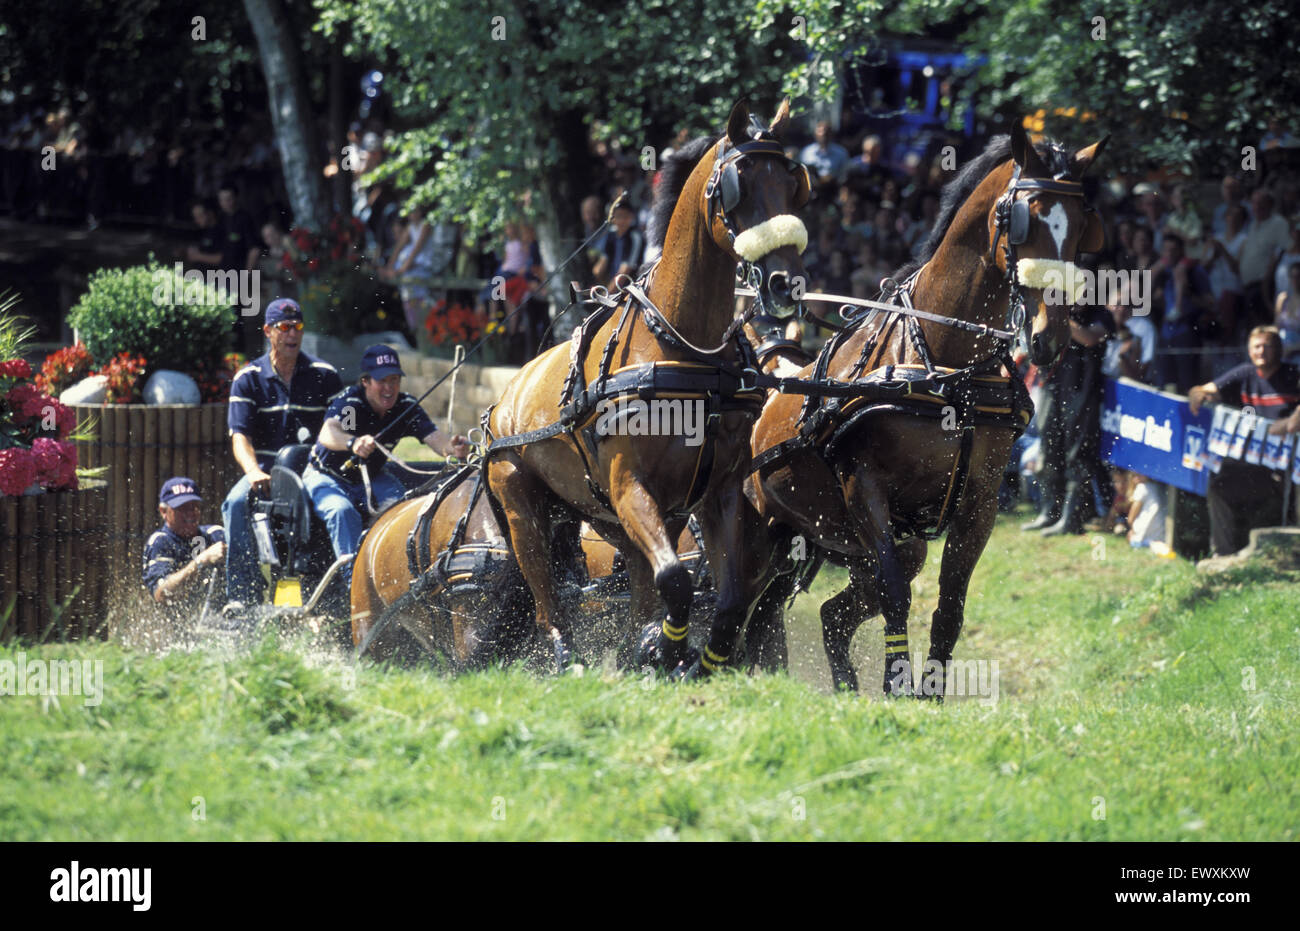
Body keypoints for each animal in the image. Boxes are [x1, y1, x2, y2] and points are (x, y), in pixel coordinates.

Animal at [488, 100, 811, 670]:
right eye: (741, 184)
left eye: (794, 184)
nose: (785, 284)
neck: (679, 346)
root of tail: (505, 400)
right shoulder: (630, 485)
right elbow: (677, 579)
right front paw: (664, 647)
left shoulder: (719, 490)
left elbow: (731, 597)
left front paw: (701, 657)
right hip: (523, 506)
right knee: (549, 603)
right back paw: (569, 657)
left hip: (616, 519)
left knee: (638, 582)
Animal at [748, 121, 1102, 691]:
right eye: (1022, 219)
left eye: (1081, 228)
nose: (1050, 338)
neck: (944, 365)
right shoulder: (865, 486)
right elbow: (895, 595)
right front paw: (896, 685)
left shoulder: (979, 500)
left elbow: (949, 608)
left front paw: (928, 694)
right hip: (772, 526)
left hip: (844, 540)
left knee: (818, 613)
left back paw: (841, 686)